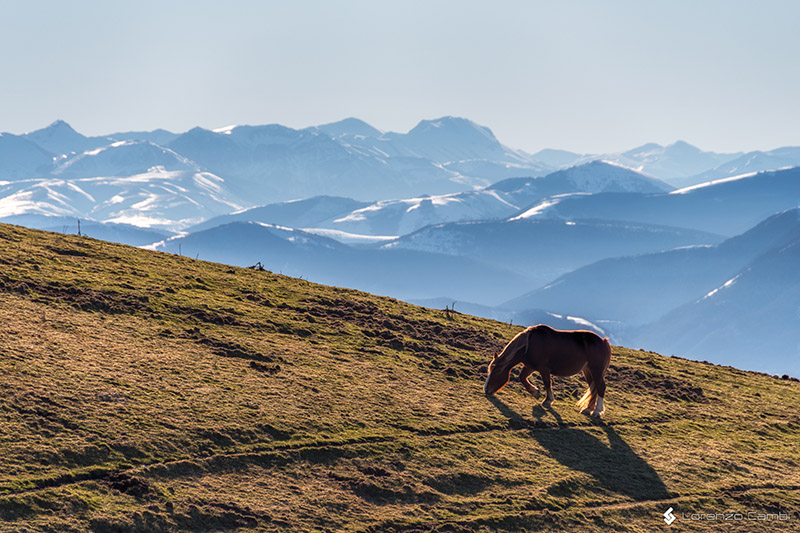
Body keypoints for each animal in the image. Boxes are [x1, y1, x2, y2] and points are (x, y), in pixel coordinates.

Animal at [482, 324, 612, 416]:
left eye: (496, 372)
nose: (487, 390)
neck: (529, 344)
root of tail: (604, 341)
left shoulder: (543, 369)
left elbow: (547, 383)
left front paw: (547, 401)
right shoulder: (530, 367)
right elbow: (522, 377)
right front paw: (535, 392)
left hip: (596, 370)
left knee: (600, 387)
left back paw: (597, 411)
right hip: (588, 371)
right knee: (593, 388)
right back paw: (588, 409)